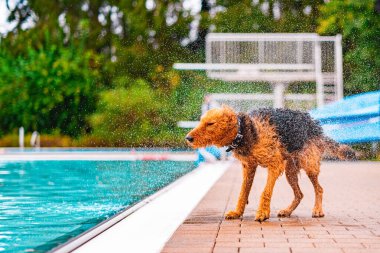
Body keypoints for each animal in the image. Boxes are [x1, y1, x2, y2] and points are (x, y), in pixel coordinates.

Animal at [186, 105, 354, 221]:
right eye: (201, 121)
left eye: (210, 123)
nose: (188, 138)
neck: (244, 131)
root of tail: (315, 127)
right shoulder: (249, 167)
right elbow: (243, 192)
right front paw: (237, 212)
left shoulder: (274, 165)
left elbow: (265, 192)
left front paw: (263, 212)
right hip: (290, 171)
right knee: (299, 194)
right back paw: (287, 211)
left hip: (309, 164)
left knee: (319, 189)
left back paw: (317, 210)